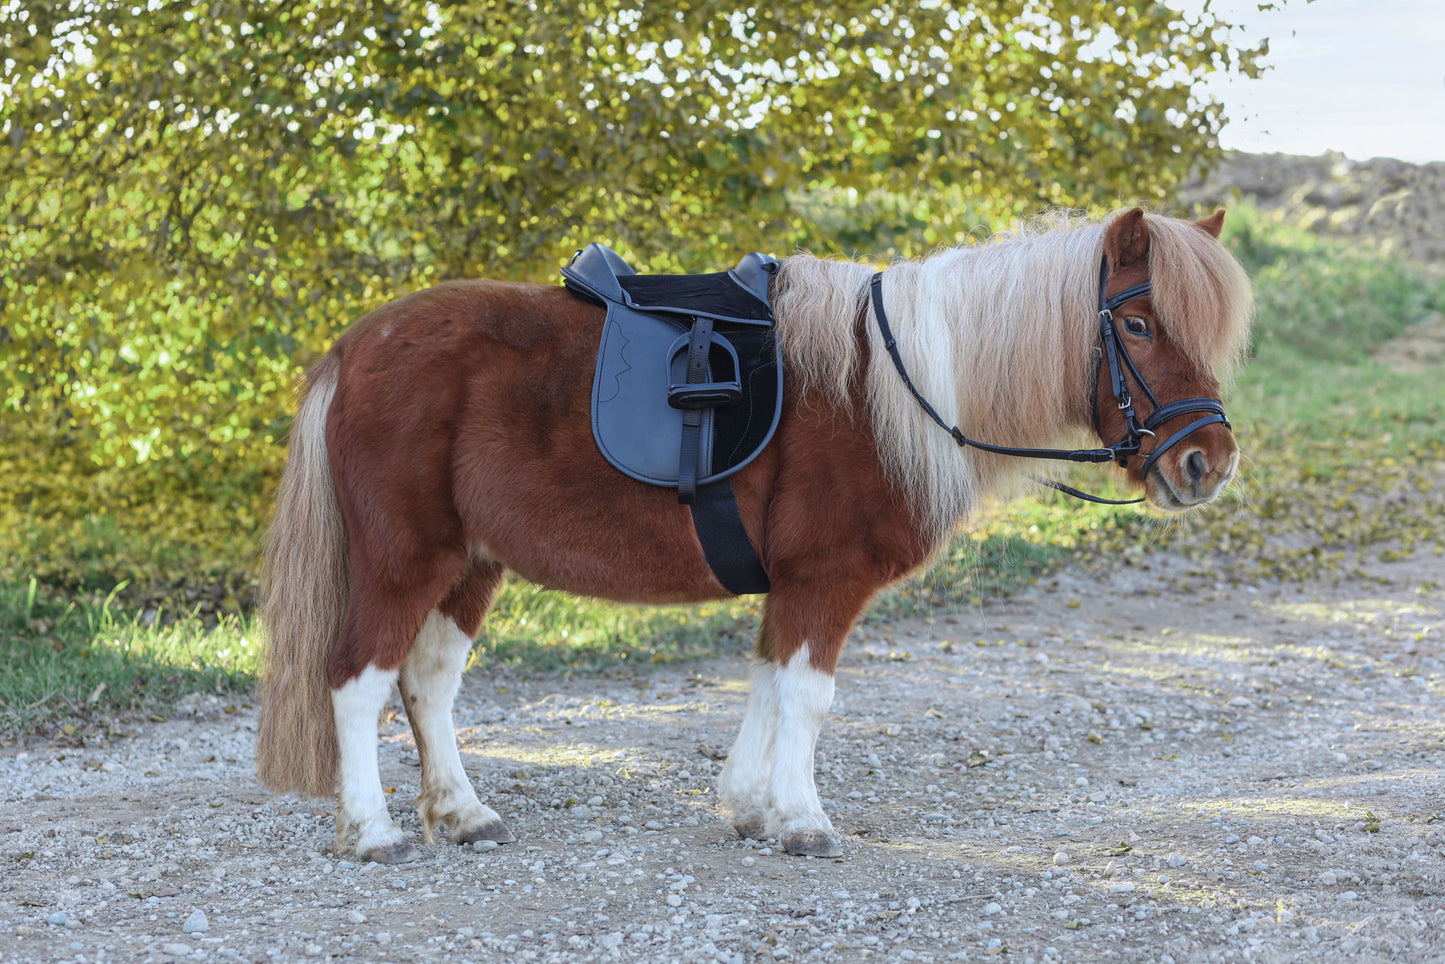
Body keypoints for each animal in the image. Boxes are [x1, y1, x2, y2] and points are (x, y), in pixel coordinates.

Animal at [255, 207, 1253, 863]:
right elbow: (807, 697)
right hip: (403, 560)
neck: (887, 388)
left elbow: (771, 683)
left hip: (471, 565)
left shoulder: (795, 585)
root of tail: (354, 347)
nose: (1205, 462)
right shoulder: (825, 578)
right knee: (357, 680)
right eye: (1136, 322)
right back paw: (371, 831)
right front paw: (802, 821)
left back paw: (462, 815)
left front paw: (750, 806)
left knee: (427, 683)